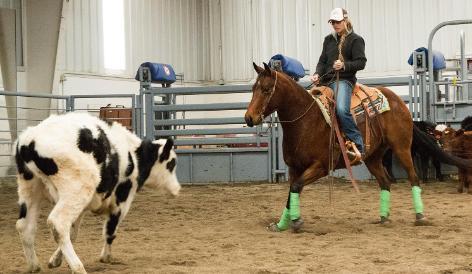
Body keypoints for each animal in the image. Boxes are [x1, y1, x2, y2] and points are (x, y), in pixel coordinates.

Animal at [13, 112, 181, 272]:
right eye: (171, 164)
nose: (177, 189)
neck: (134, 155)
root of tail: (29, 140)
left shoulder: (81, 208)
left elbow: (73, 233)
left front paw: (55, 260)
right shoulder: (122, 200)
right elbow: (110, 230)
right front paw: (106, 257)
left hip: (32, 189)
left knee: (25, 226)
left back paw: (34, 266)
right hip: (76, 190)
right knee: (58, 223)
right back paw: (78, 267)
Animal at [243, 62, 428, 231]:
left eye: (266, 89)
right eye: (253, 88)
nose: (249, 118)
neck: (306, 121)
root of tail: (396, 99)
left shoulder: (321, 166)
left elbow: (296, 187)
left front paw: (296, 221)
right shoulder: (294, 168)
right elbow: (291, 192)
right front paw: (281, 224)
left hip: (402, 148)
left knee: (413, 177)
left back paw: (420, 216)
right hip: (373, 157)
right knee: (385, 182)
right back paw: (383, 218)